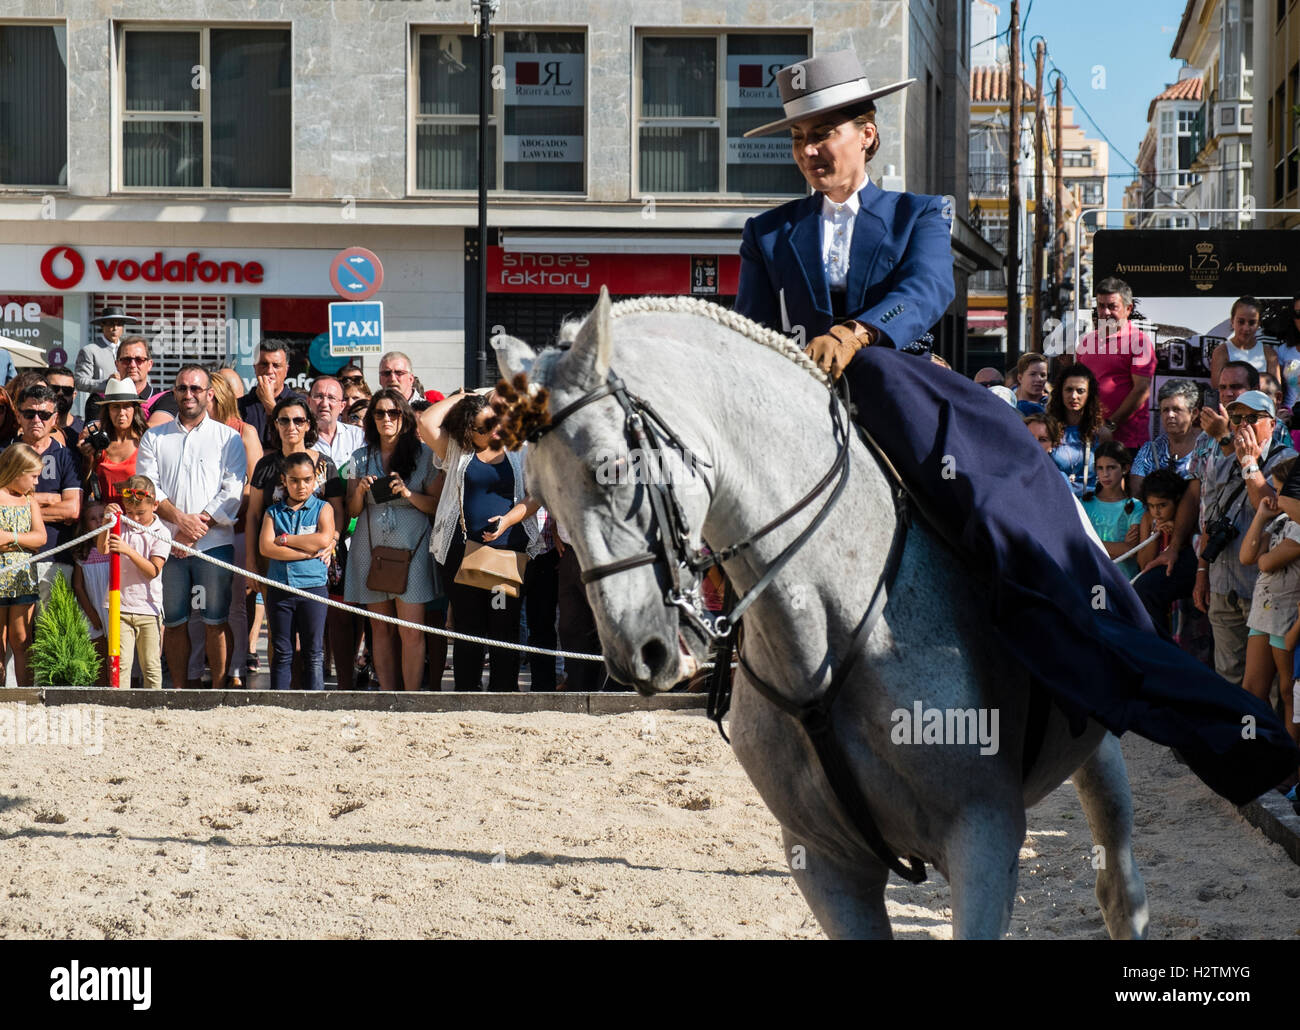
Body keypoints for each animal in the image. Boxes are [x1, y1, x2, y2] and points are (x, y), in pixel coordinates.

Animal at [488, 290, 1149, 941]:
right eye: (542, 497)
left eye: (615, 469)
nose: (640, 654)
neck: (826, 633)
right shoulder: (827, 865)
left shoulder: (985, 838)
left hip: (1099, 755)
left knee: (1120, 891)